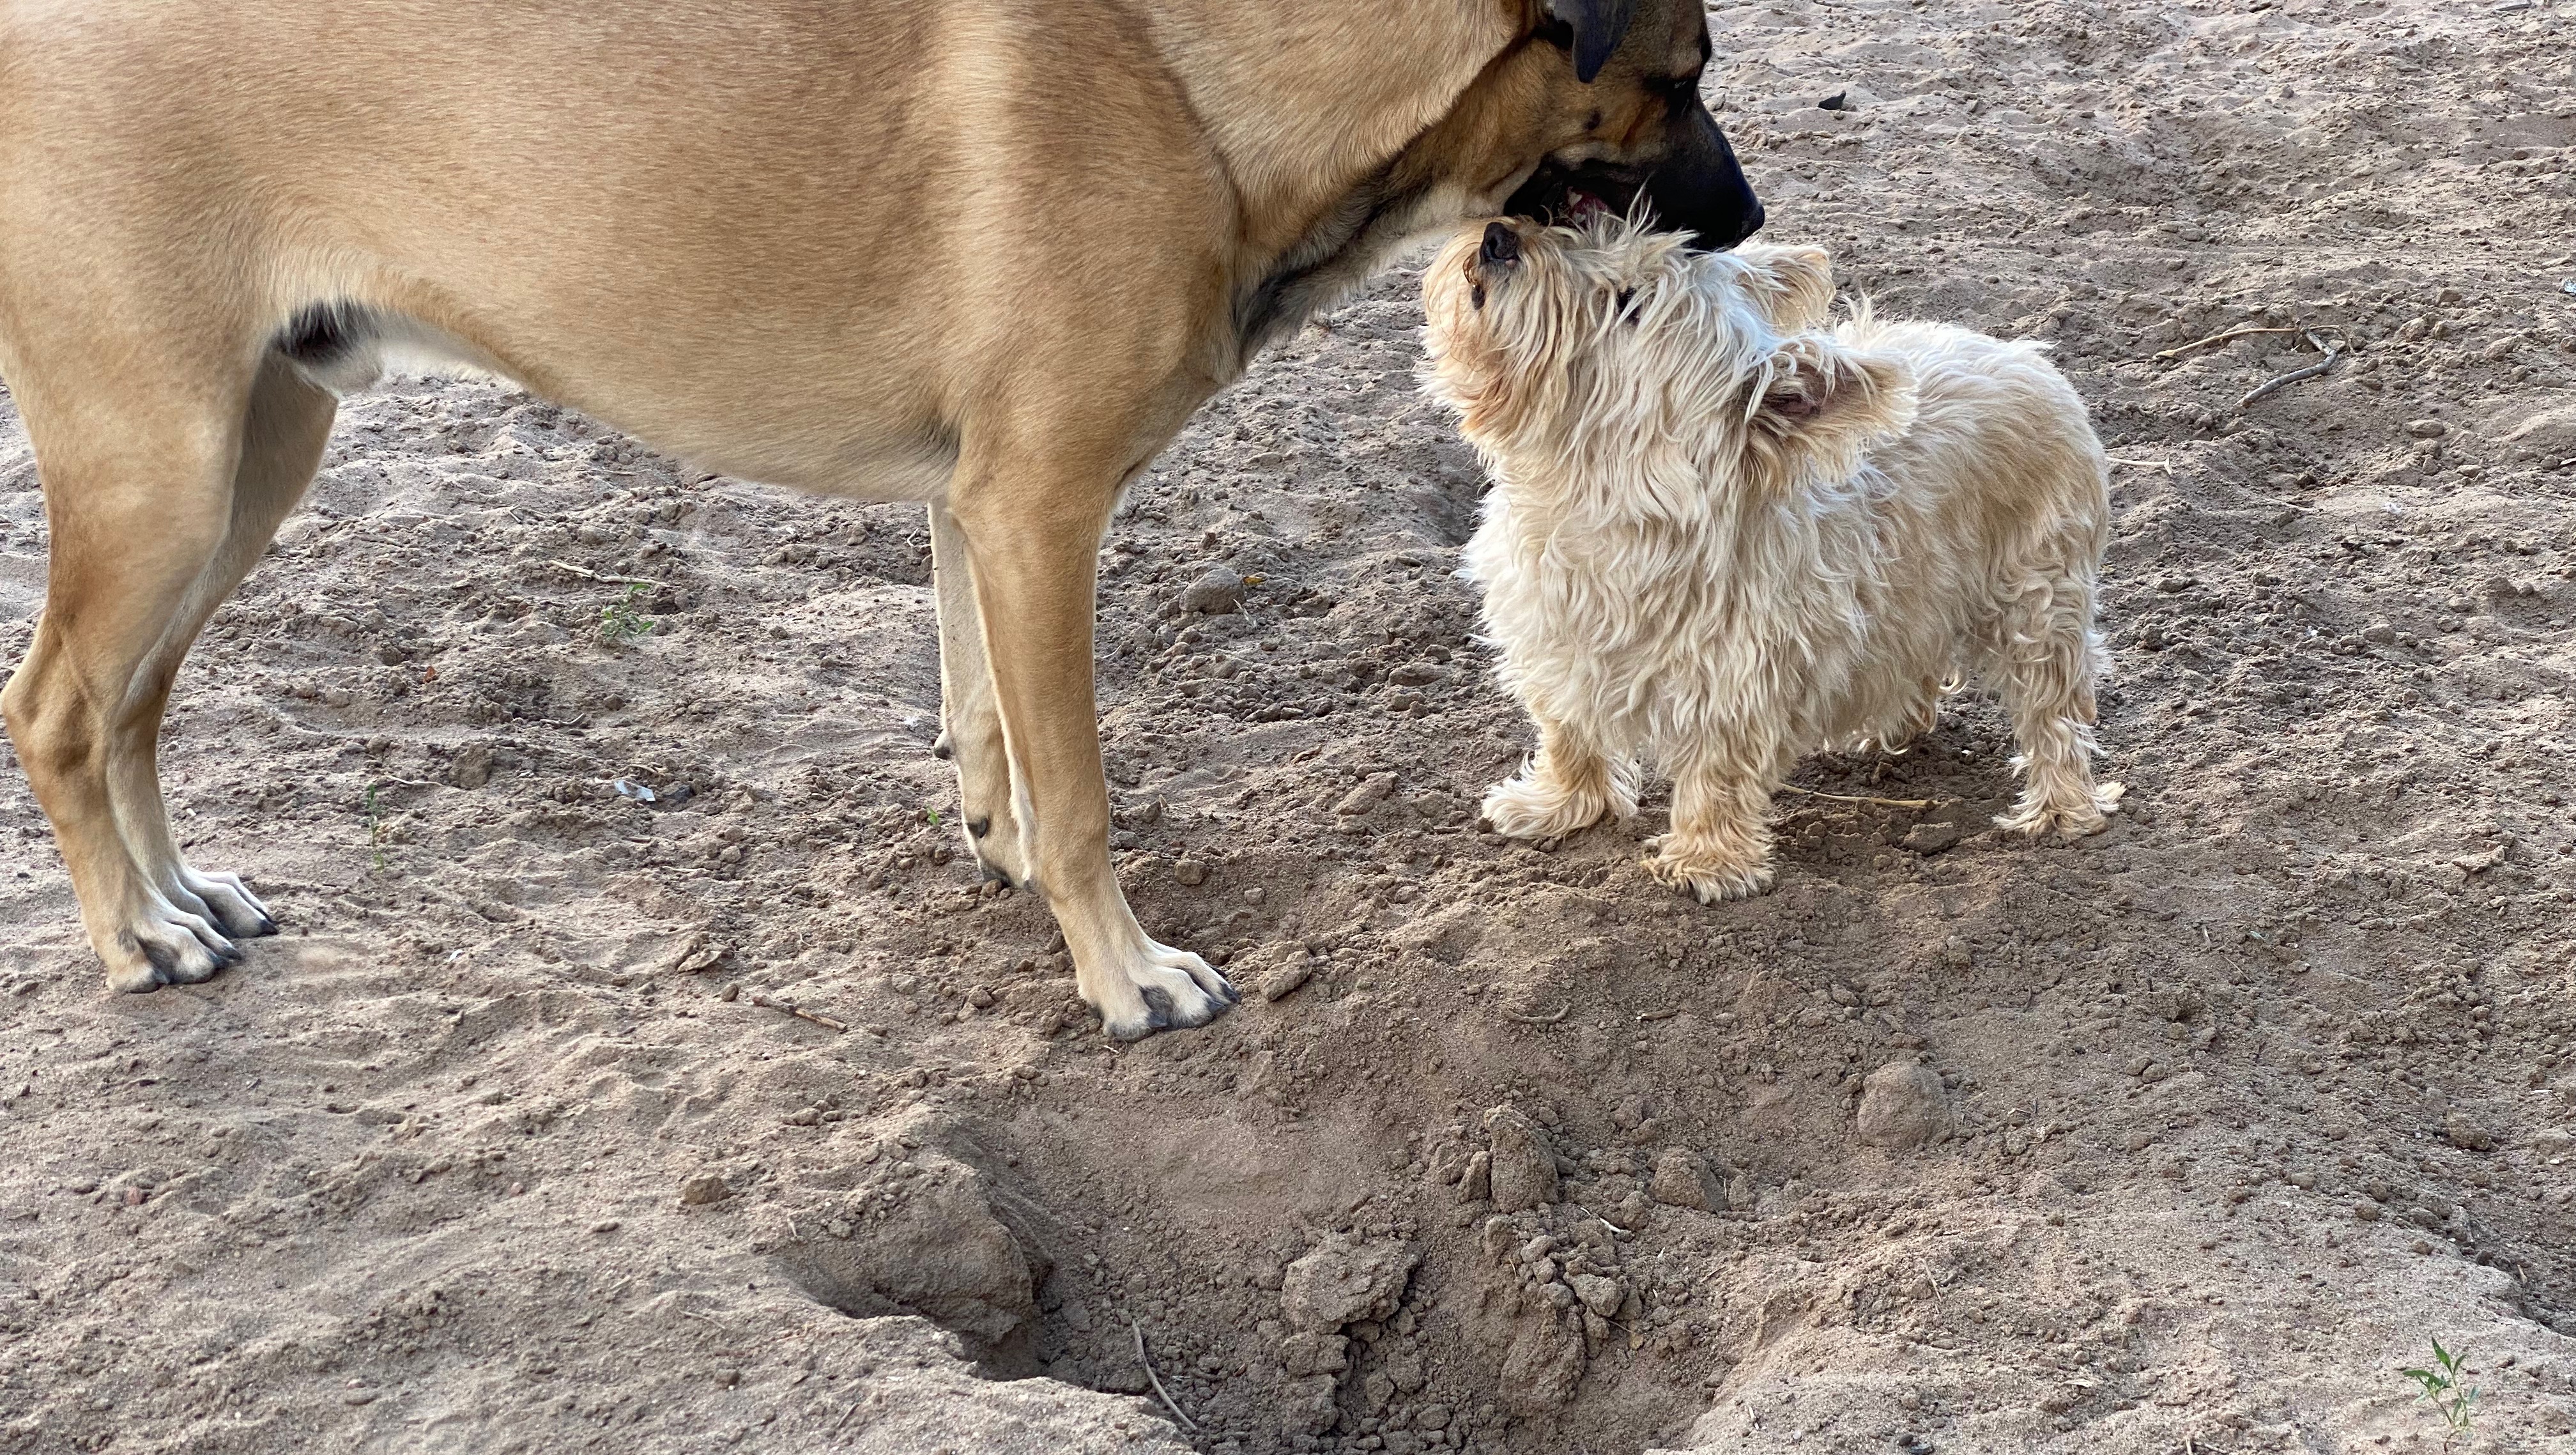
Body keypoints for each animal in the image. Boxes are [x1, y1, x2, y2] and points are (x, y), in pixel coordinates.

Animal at [0, 5, 1761, 1040]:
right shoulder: (1042, 512)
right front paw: (1124, 974)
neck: (1198, 88)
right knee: (58, 708)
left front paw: (1005, 852)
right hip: (164, 477)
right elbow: (1083, 791)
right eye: (1676, 75)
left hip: (255, 458)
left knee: (133, 707)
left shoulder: (973, 512)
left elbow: (989, 729)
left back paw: (184, 893)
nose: (1749, 218)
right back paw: (135, 939)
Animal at [1422, 217, 2122, 901]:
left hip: (2040, 597)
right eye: (1585, 229)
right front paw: (1556, 806)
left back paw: (2060, 808)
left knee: (2054, 710)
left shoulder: (1734, 679)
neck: (1596, 507)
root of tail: (2025, 355)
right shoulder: (1553, 650)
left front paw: (1707, 861)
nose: (1498, 236)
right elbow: (1568, 735)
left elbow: (1716, 774)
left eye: (1630, 303)